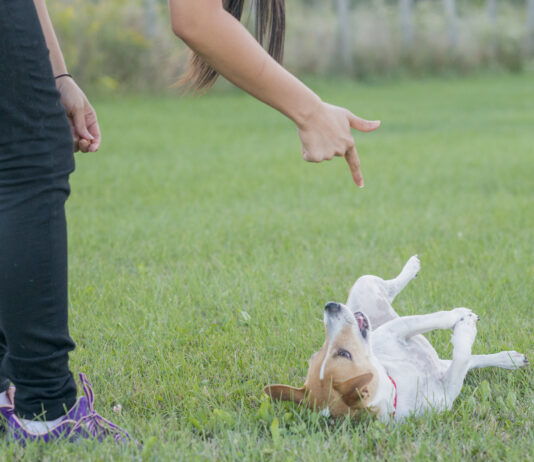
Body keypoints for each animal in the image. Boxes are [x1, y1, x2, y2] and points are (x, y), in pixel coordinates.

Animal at [266, 254, 528, 420]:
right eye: (344, 354)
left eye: (318, 354)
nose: (330, 306)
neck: (396, 385)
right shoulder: (448, 387)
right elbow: (462, 355)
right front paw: (464, 322)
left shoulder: (396, 330)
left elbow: (433, 322)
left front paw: (507, 358)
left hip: (365, 284)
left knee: (390, 285)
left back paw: (411, 267)